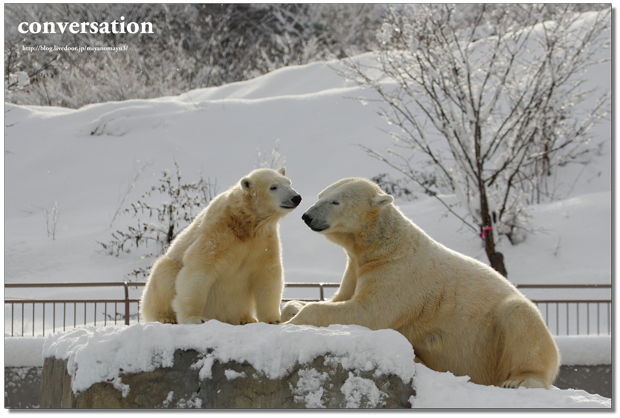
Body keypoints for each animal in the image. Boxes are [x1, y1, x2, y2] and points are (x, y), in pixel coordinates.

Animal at [143, 168, 302, 324]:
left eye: (288, 182)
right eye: (273, 187)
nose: (296, 197)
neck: (245, 223)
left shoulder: (264, 240)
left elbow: (268, 273)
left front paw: (273, 320)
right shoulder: (218, 231)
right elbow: (200, 267)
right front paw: (195, 317)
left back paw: (247, 319)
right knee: (164, 272)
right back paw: (164, 317)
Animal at [284, 176, 560, 388]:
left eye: (335, 201)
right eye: (321, 195)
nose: (307, 216)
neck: (385, 246)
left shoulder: (398, 275)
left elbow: (368, 312)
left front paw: (292, 322)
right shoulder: (356, 267)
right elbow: (340, 298)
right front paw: (290, 308)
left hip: (498, 338)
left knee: (520, 316)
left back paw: (521, 380)